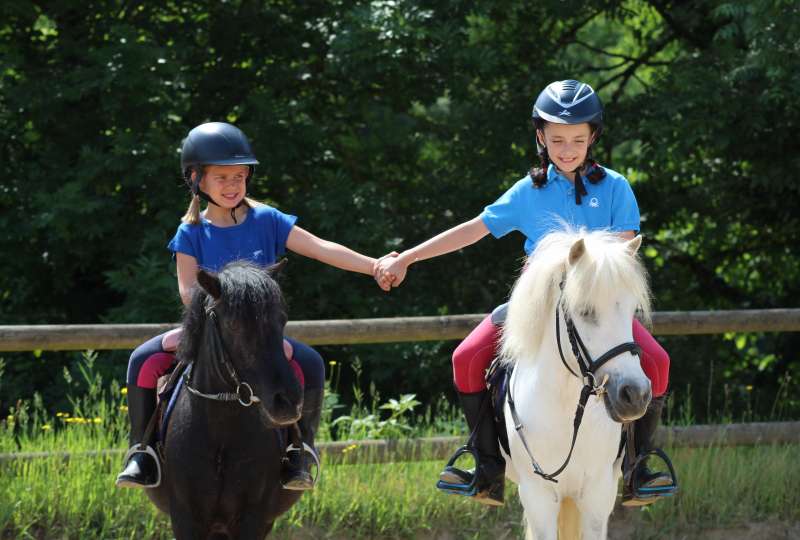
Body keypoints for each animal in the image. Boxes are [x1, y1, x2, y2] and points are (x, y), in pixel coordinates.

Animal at [144, 260, 306, 536]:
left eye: (282, 320)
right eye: (234, 326)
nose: (287, 402)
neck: (222, 426)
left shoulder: (254, 518)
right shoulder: (185, 517)